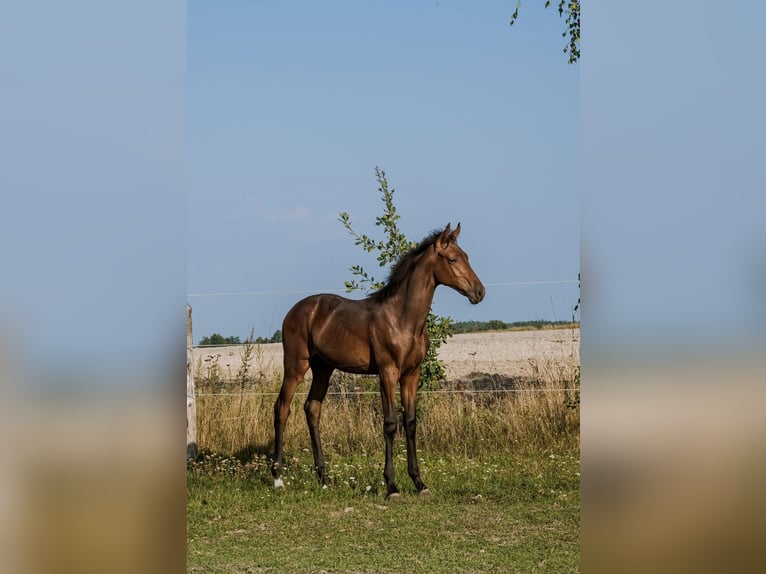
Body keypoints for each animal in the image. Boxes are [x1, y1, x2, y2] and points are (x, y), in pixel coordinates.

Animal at [272, 223, 486, 498]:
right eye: (452, 259)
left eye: (466, 256)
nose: (479, 292)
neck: (402, 319)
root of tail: (296, 311)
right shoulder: (387, 373)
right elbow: (391, 424)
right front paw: (391, 486)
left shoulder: (411, 374)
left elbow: (411, 423)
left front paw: (419, 483)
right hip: (296, 365)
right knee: (282, 409)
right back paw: (278, 477)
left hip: (323, 368)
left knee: (312, 409)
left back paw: (324, 477)